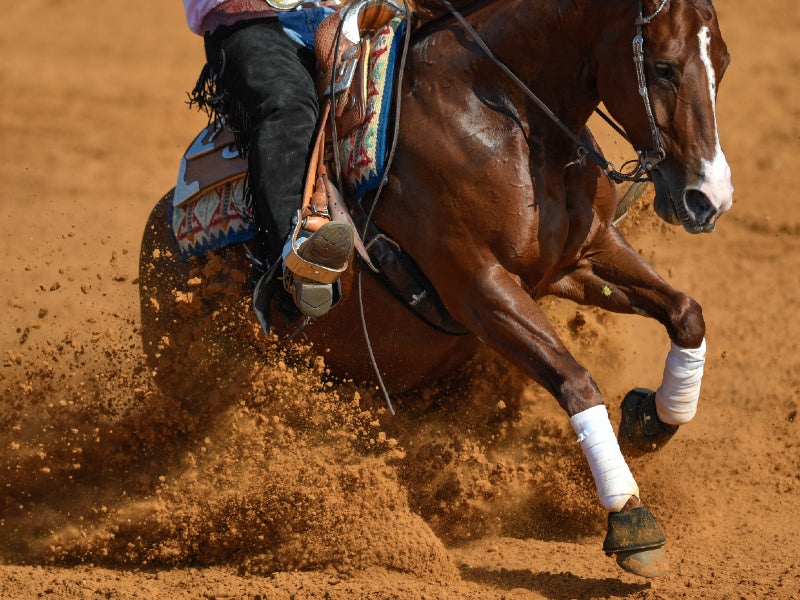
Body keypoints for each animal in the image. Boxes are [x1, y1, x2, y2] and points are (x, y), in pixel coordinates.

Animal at [139, 0, 732, 578]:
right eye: (663, 67)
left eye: (722, 65)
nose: (709, 198)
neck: (505, 117)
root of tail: (159, 235)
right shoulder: (478, 288)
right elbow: (576, 381)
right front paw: (630, 518)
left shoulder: (584, 258)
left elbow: (687, 314)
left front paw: (651, 418)